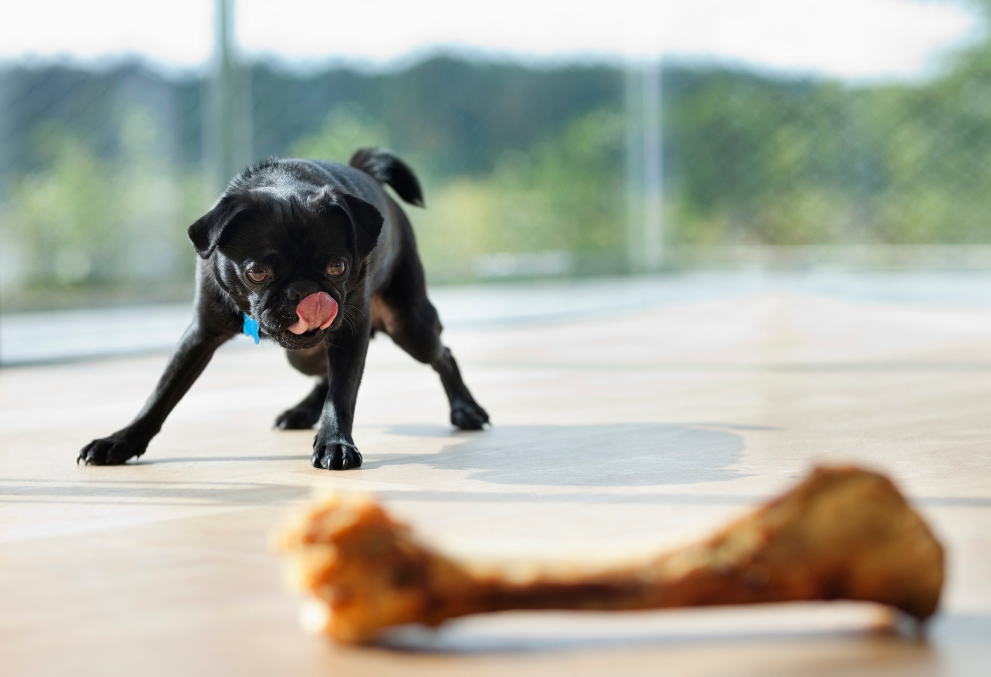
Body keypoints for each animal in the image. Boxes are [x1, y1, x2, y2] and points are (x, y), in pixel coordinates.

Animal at [79, 151, 490, 470]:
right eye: (257, 273)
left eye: (337, 267)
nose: (303, 291)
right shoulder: (200, 335)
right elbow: (161, 394)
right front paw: (121, 441)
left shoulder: (350, 332)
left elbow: (343, 394)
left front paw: (335, 444)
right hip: (304, 355)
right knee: (322, 373)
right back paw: (303, 412)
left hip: (409, 325)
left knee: (442, 354)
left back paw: (466, 409)